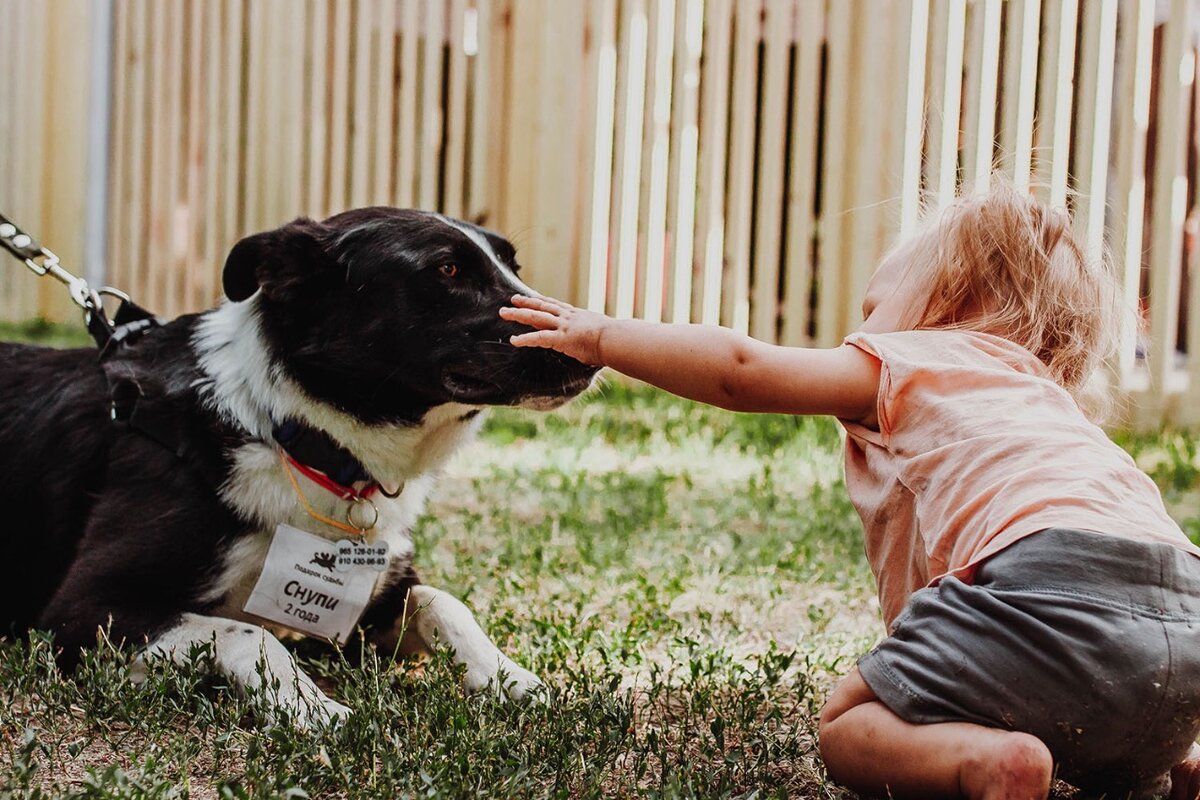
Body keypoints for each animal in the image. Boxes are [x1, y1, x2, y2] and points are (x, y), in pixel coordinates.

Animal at [0, 206, 600, 724]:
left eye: (513, 266)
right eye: (447, 270)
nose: (591, 336)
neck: (295, 437)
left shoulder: (367, 600)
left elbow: (442, 601)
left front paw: (512, 678)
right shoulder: (80, 610)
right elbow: (249, 634)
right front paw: (312, 708)